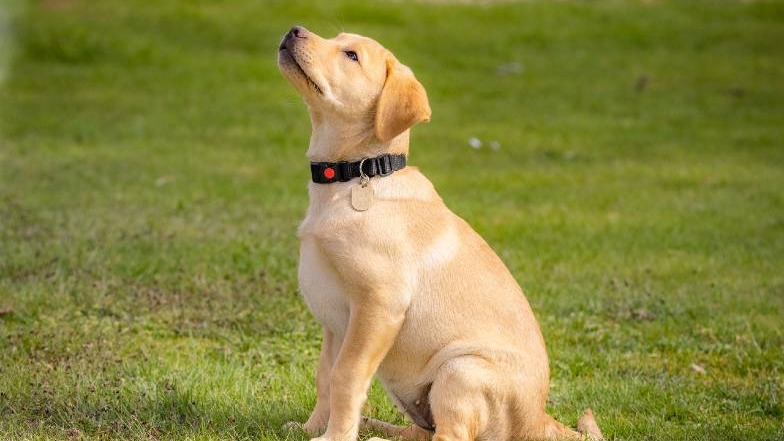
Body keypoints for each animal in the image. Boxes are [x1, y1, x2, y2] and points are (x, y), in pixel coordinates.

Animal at [276, 26, 600, 440]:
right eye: (335, 37)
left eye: (351, 55)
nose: (294, 30)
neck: (357, 175)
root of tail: (538, 420)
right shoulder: (335, 321)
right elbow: (325, 378)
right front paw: (311, 428)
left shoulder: (378, 305)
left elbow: (345, 378)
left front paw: (334, 437)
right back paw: (377, 428)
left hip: (460, 371)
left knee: (451, 435)